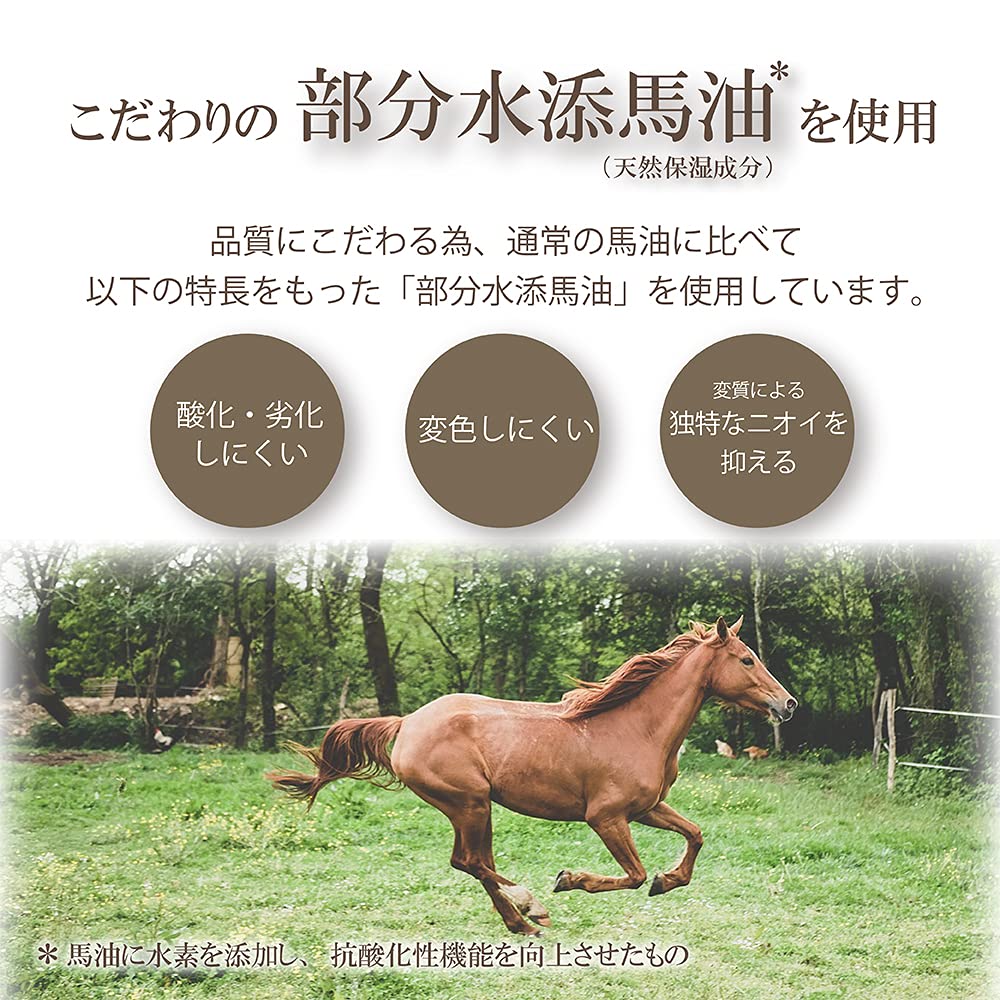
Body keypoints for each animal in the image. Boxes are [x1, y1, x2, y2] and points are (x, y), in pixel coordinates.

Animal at [267, 615, 797, 936]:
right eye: (747, 659)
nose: (787, 703)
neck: (637, 727)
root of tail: (406, 722)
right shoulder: (606, 817)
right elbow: (633, 874)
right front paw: (571, 879)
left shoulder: (646, 809)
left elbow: (696, 834)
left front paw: (669, 881)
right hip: (469, 803)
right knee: (470, 862)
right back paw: (530, 906)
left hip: (475, 809)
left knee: (473, 862)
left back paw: (520, 922)